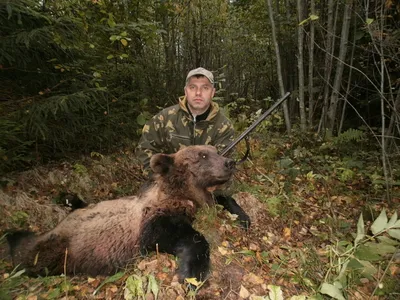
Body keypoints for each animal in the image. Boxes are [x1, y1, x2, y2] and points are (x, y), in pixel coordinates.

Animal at [7, 146, 250, 282]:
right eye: (203, 155)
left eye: (215, 150)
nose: (230, 162)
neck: (182, 194)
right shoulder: (153, 221)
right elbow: (184, 237)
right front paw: (191, 274)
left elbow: (222, 198)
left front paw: (244, 217)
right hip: (59, 247)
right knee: (31, 255)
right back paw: (12, 237)